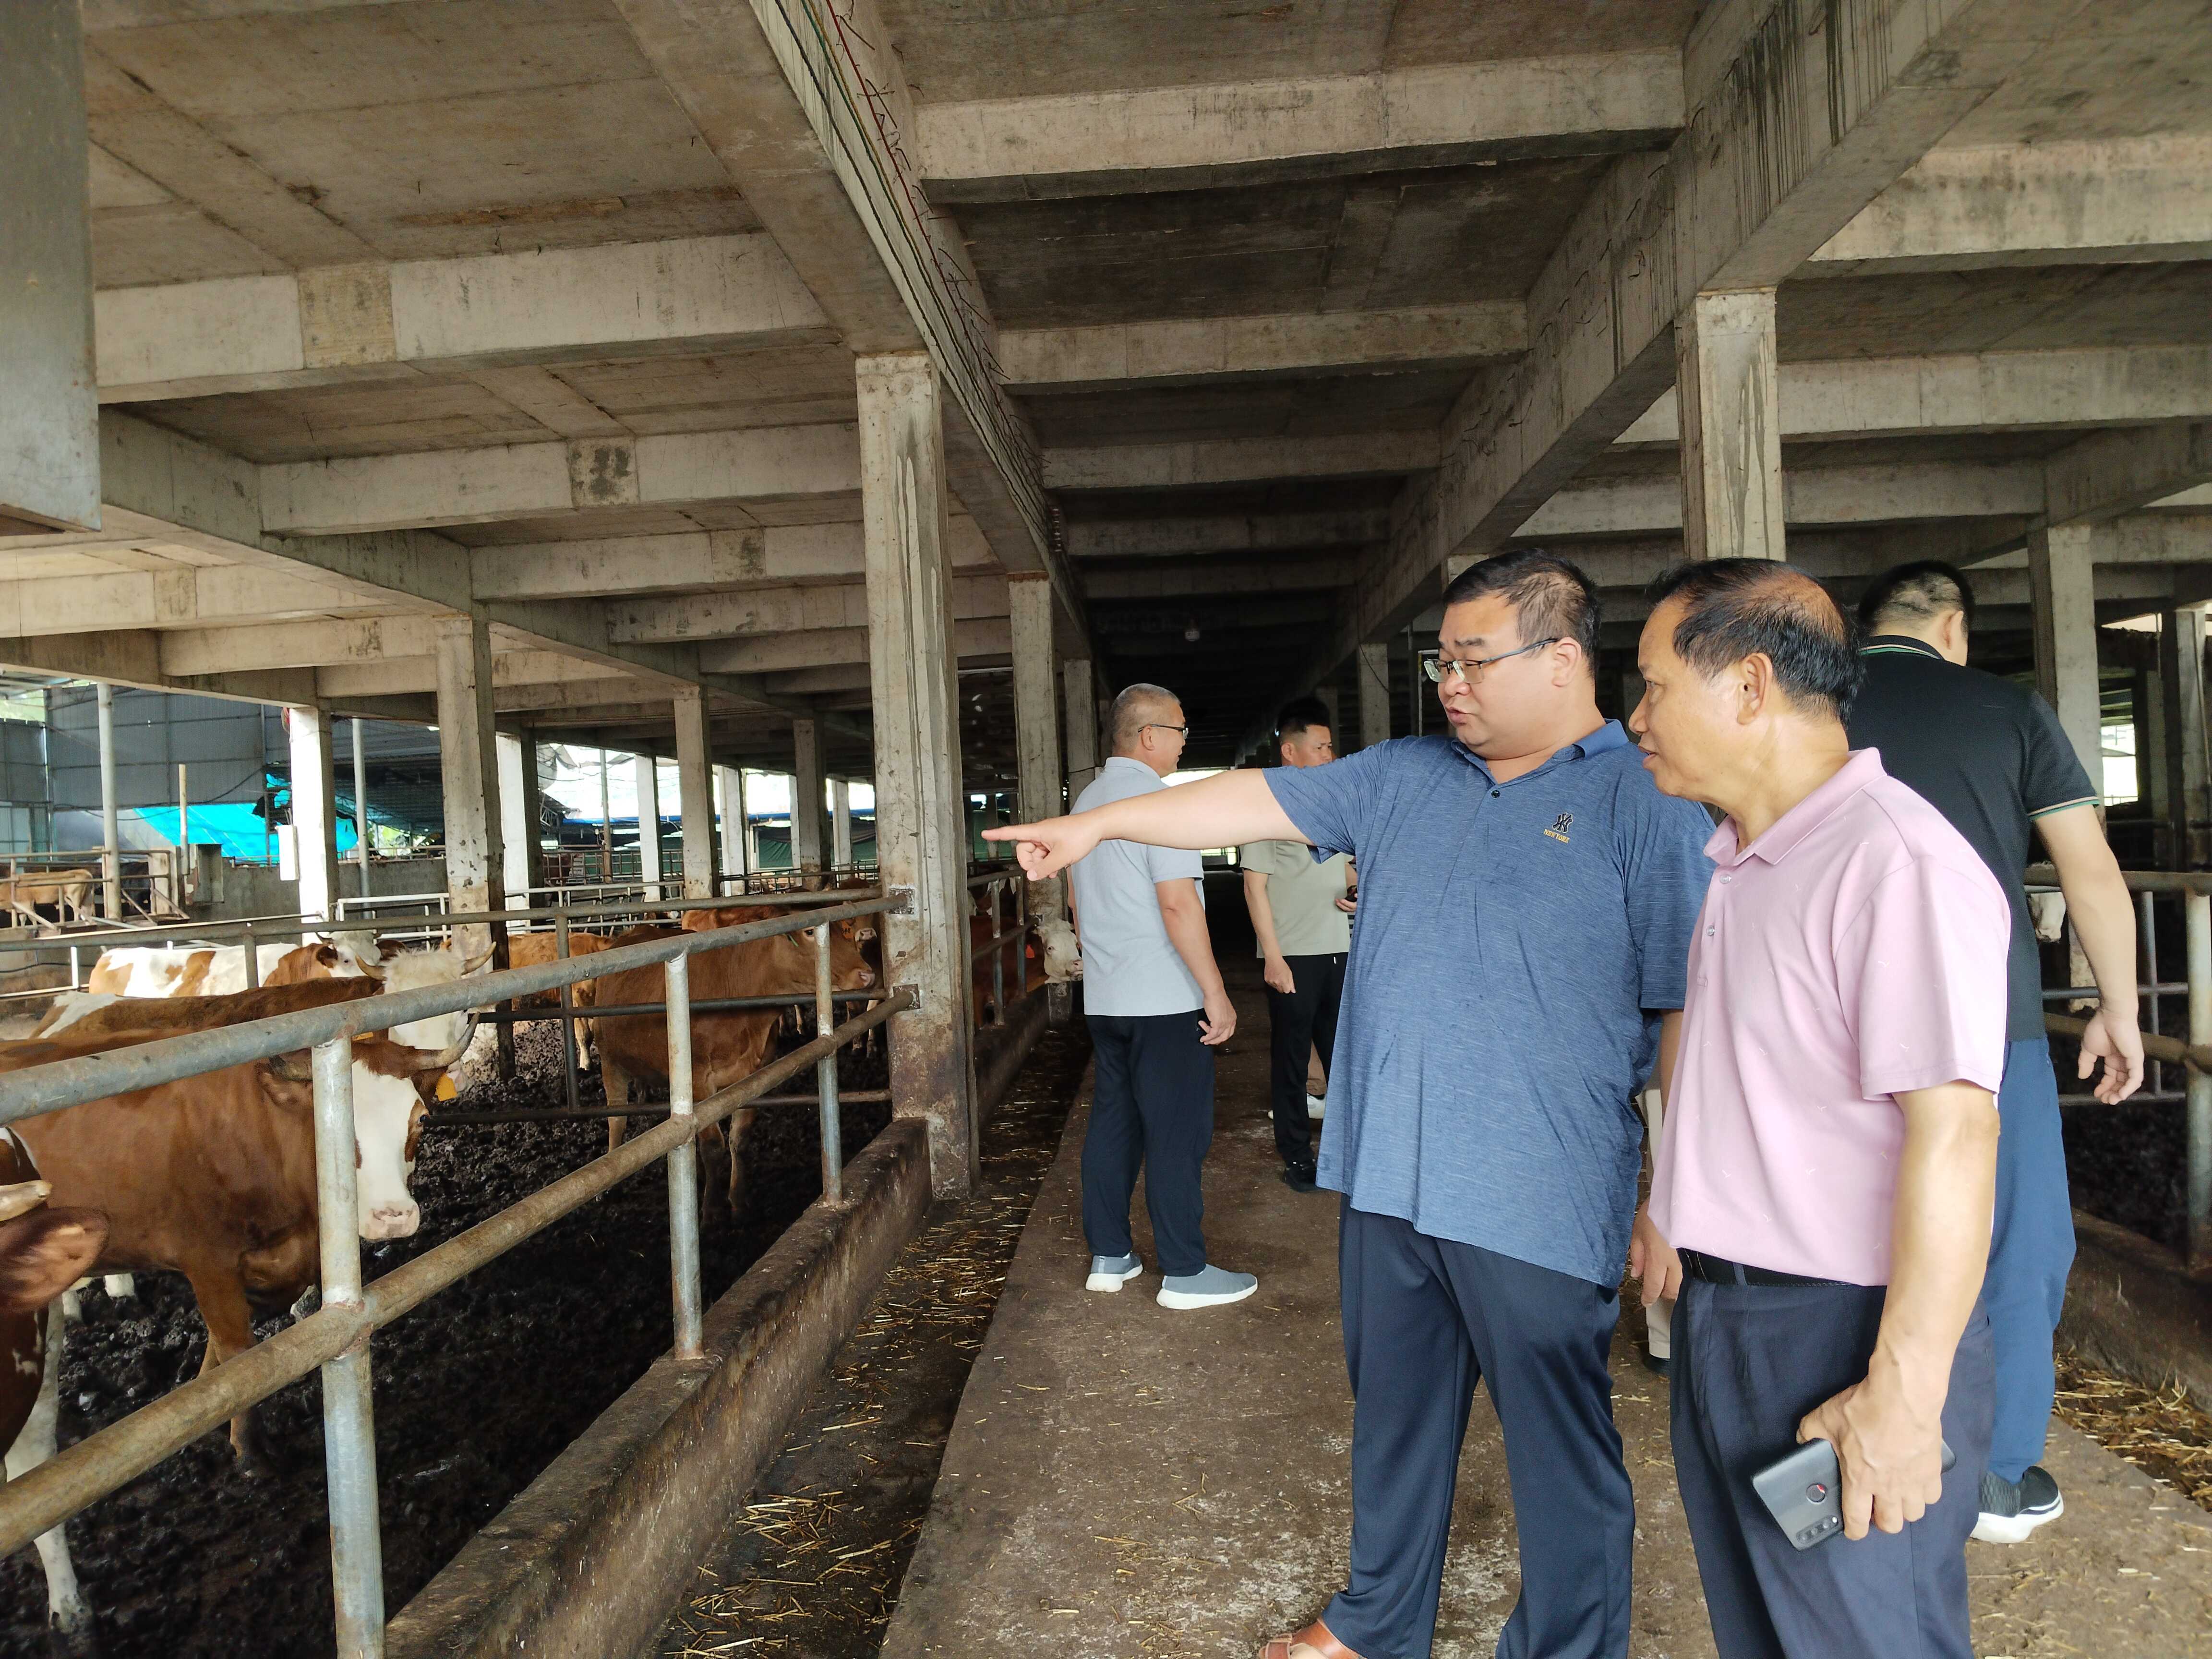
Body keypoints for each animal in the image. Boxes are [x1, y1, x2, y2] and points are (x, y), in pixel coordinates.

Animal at [2, 1014, 456, 1469]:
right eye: (330, 1130)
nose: (392, 1217)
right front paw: (249, 1447)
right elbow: (239, 1354)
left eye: (419, 1120)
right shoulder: (207, 1261)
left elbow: (218, 1352)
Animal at [591, 923, 875, 1209]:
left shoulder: (753, 1075)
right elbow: (713, 1147)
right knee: (617, 1117)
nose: (867, 974)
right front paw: (710, 1210)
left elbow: (739, 1139)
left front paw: (737, 1202)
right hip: (610, 1060)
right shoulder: (698, 1081)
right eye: (809, 932)